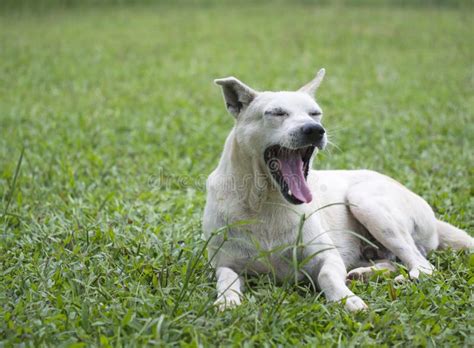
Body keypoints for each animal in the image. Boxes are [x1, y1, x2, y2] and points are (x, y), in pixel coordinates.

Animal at [202, 69, 472, 312]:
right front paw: (227, 302)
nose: (314, 129)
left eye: (315, 113)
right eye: (277, 113)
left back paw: (401, 279)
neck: (265, 201)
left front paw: (346, 299)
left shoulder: (328, 256)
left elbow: (327, 276)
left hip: (365, 201)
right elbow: (226, 280)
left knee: (423, 265)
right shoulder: (226, 264)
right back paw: (367, 272)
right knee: (396, 261)